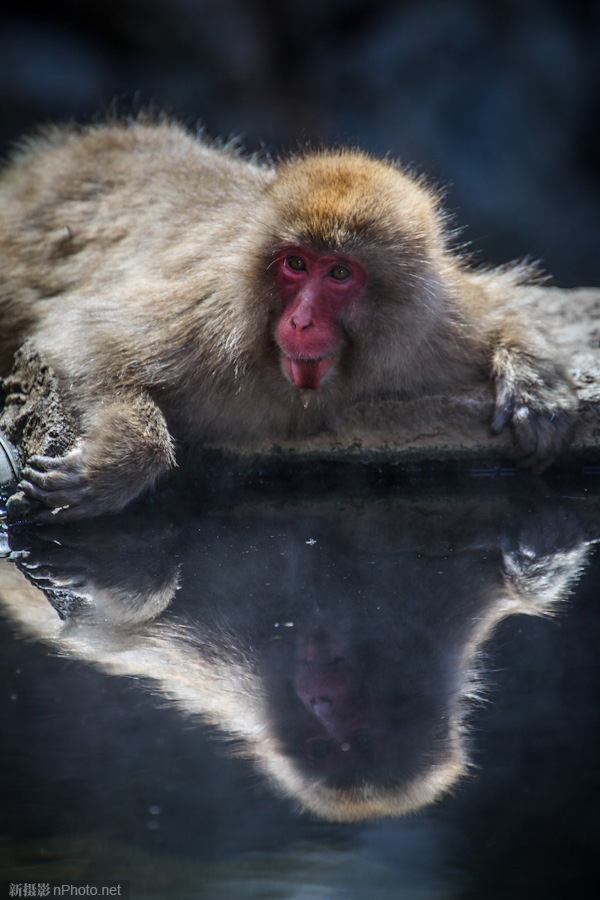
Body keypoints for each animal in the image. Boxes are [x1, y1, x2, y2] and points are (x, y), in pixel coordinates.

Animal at [0, 118, 576, 520]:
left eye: (339, 273)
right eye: (295, 264)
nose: (300, 322)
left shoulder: (429, 330)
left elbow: (497, 308)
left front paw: (535, 385)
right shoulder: (210, 325)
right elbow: (88, 340)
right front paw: (121, 464)